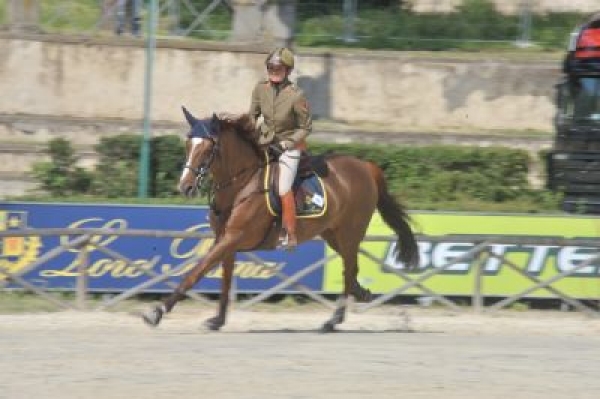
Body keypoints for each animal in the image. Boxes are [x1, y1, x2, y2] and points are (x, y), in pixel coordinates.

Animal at [142, 108, 420, 332]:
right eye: (188, 145)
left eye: (208, 148)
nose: (185, 186)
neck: (241, 182)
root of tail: (365, 166)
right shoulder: (225, 240)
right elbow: (225, 279)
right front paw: (218, 320)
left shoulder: (232, 237)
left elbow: (196, 272)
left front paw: (158, 311)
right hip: (333, 234)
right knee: (351, 271)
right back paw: (359, 296)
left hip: (350, 233)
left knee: (348, 270)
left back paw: (334, 319)